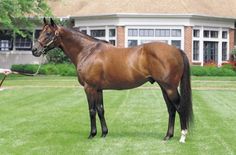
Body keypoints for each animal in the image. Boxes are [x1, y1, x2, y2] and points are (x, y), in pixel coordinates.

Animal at [32, 18, 193, 143]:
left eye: (48, 33)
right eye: (40, 32)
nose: (34, 50)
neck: (87, 51)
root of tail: (177, 50)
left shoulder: (89, 88)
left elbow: (91, 110)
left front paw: (92, 134)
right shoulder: (98, 89)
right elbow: (100, 109)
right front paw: (104, 133)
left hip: (170, 88)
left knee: (179, 108)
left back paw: (182, 137)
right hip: (164, 87)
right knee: (171, 109)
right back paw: (167, 136)